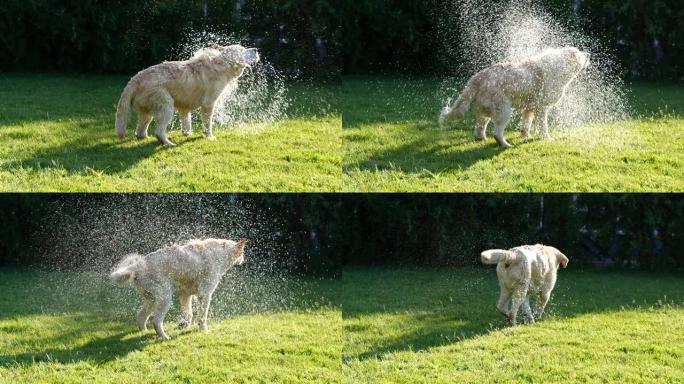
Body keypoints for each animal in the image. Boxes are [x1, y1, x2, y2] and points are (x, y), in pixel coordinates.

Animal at [111, 238, 250, 340]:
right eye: (242, 252)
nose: (243, 259)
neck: (221, 252)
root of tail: (137, 266)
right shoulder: (205, 294)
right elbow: (202, 316)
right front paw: (204, 330)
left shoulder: (185, 294)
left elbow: (188, 313)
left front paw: (184, 325)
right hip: (165, 299)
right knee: (156, 321)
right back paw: (164, 337)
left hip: (152, 300)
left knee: (141, 316)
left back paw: (144, 333)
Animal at [115, 43, 260, 146]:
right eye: (242, 50)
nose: (256, 49)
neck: (222, 64)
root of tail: (134, 79)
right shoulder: (208, 104)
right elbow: (207, 123)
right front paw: (209, 136)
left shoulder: (184, 106)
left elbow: (186, 121)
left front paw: (187, 134)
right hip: (166, 105)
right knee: (159, 131)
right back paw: (168, 144)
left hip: (148, 111)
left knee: (140, 130)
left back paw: (146, 138)